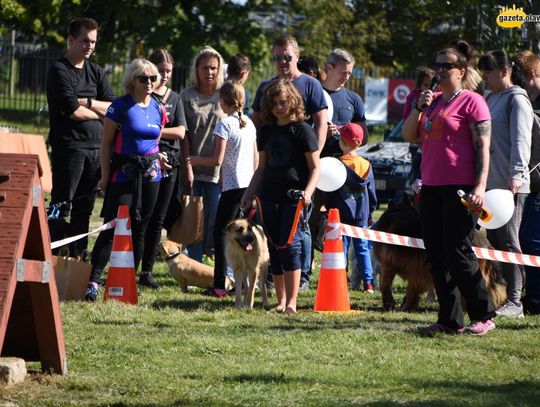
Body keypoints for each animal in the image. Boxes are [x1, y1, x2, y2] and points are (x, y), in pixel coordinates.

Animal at [372, 198, 506, 312]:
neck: (399, 212)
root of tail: (485, 245)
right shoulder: (416, 270)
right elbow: (412, 289)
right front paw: (408, 305)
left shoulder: (389, 264)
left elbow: (385, 284)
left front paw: (393, 305)